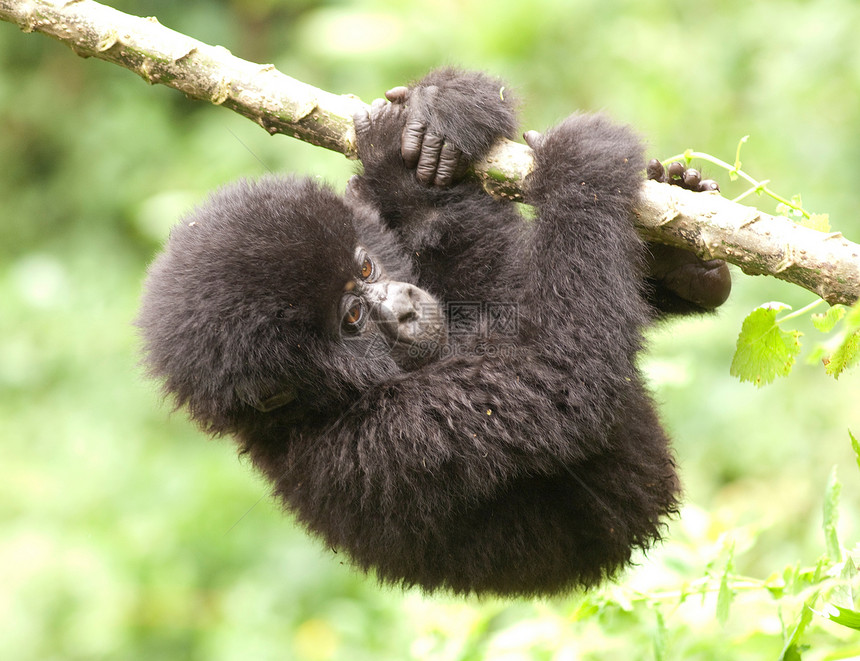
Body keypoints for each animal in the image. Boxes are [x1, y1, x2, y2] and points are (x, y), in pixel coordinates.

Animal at [138, 69, 728, 596]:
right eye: (352, 319)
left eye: (367, 268)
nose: (402, 308)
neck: (308, 413)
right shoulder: (395, 436)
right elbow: (566, 374)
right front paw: (582, 165)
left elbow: (459, 243)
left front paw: (440, 115)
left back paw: (684, 263)